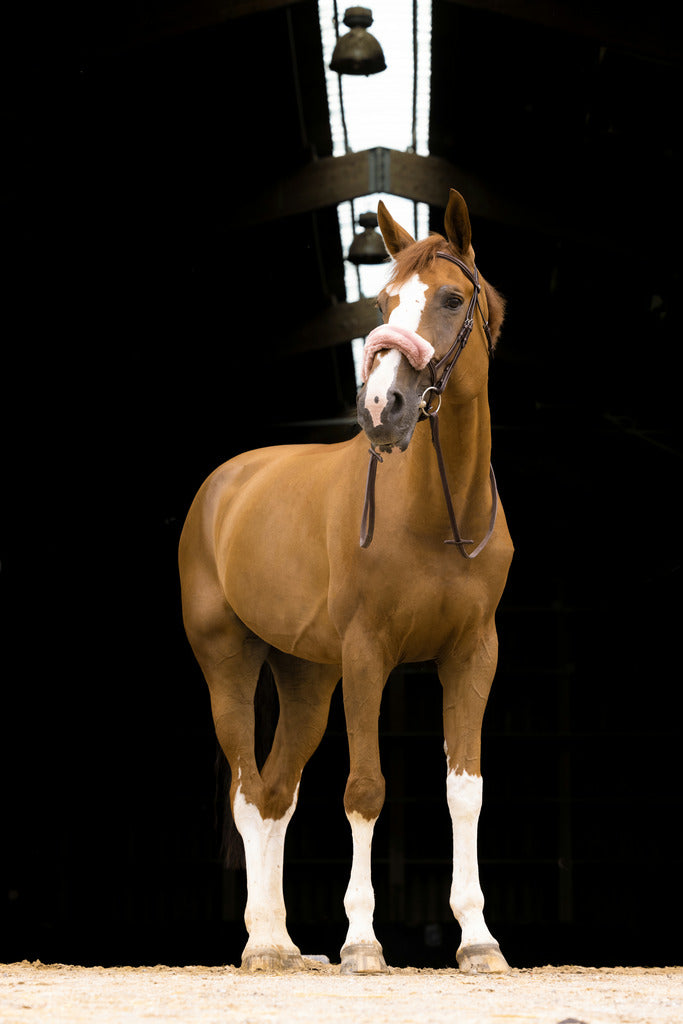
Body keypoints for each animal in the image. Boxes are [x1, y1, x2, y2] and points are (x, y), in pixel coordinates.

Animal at [180, 192, 511, 974]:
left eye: (451, 299)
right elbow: (364, 789)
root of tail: (223, 485)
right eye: (386, 301)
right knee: (248, 793)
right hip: (229, 662)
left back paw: (285, 942)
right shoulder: (367, 655)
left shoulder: (471, 655)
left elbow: (465, 792)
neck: (438, 515)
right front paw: (362, 942)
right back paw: (264, 944)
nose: (382, 407)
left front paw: (478, 939)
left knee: (276, 792)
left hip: (305, 677)